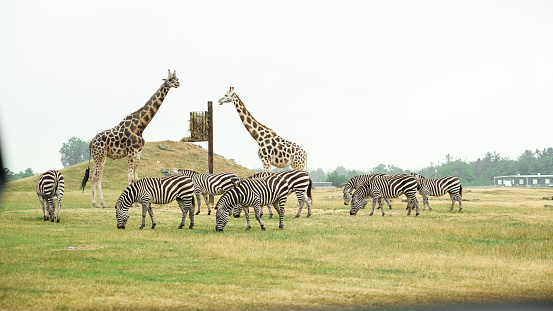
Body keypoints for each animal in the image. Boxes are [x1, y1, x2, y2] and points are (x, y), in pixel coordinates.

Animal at [81, 69, 179, 208]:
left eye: (177, 78)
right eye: (170, 79)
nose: (178, 84)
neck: (141, 125)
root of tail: (91, 142)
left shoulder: (138, 153)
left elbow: (135, 177)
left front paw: (137, 202)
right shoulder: (131, 152)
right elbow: (129, 176)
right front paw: (133, 203)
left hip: (96, 157)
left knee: (92, 176)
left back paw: (94, 203)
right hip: (101, 156)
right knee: (98, 177)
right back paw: (103, 203)